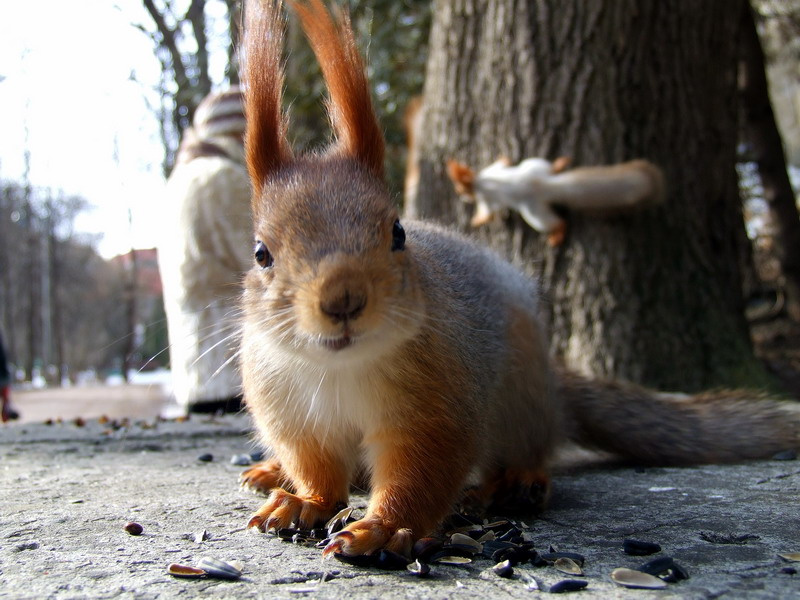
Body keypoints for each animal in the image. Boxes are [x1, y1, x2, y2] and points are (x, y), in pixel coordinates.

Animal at [446, 155, 664, 246]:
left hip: (534, 215)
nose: (458, 193)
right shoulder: (493, 169)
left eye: (460, 188)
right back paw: (560, 163)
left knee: (558, 223)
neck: (480, 182)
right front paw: (504, 155)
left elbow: (486, 215)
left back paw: (557, 236)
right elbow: (503, 162)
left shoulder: (486, 200)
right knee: (549, 167)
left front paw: (475, 221)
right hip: (534, 165)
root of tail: (543, 186)